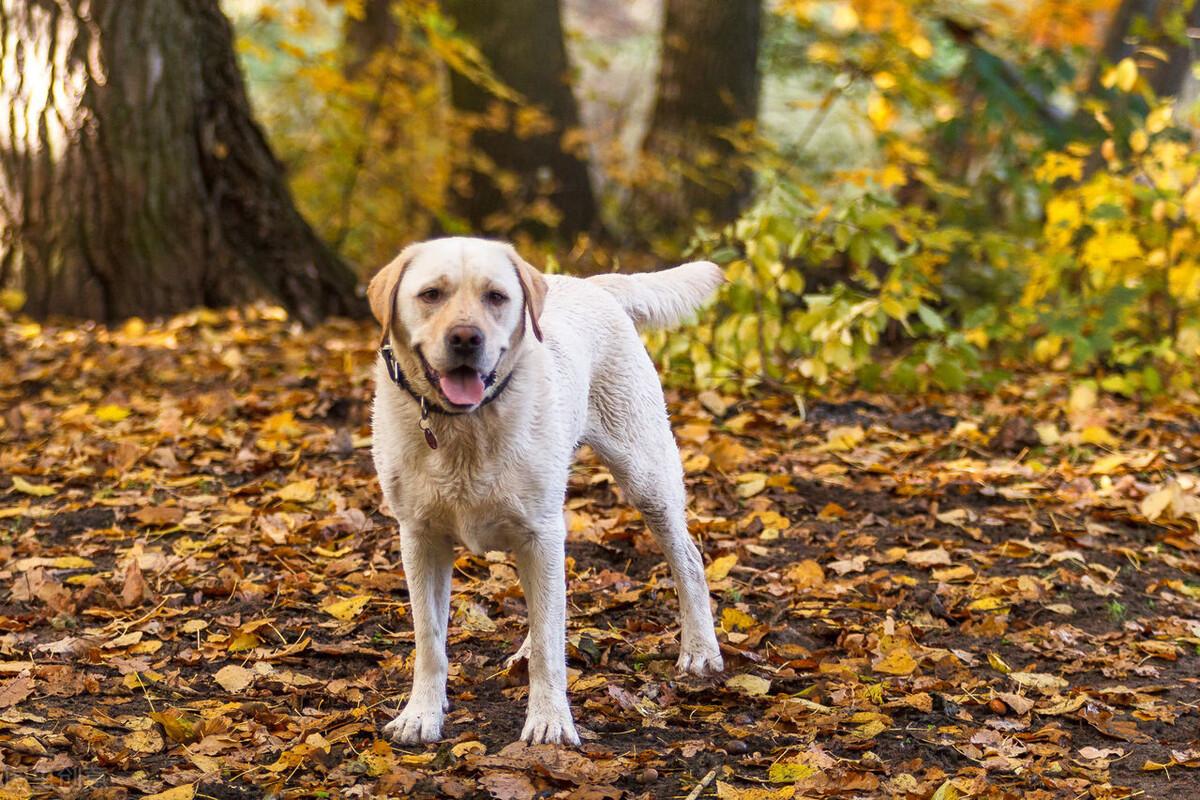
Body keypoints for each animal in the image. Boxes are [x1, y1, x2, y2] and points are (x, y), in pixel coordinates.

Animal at [364, 236, 720, 743]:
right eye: (431, 294)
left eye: (496, 297)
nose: (466, 338)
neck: (466, 427)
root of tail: (594, 284)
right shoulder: (420, 537)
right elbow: (429, 640)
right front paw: (421, 715)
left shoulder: (539, 531)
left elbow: (553, 646)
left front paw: (549, 720)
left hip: (645, 477)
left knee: (687, 559)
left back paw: (701, 650)